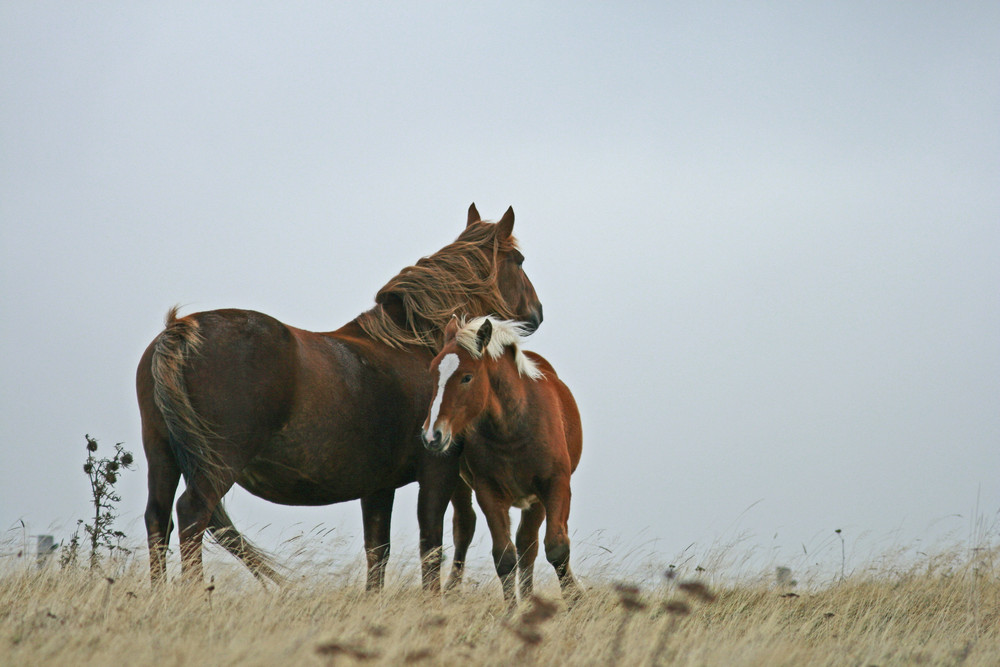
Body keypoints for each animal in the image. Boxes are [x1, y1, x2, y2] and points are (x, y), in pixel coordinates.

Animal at [137, 204, 544, 588]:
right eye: (519, 260)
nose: (536, 314)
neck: (411, 342)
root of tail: (179, 330)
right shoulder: (436, 472)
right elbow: (431, 546)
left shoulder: (378, 487)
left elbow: (377, 552)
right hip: (216, 464)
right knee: (192, 515)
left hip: (162, 454)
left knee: (158, 518)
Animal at [420, 316, 580, 608]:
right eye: (433, 372)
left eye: (467, 377)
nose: (432, 435)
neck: (513, 429)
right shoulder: (489, 492)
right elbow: (504, 557)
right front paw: (511, 611)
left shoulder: (555, 486)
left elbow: (556, 548)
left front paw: (575, 599)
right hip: (462, 485)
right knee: (465, 528)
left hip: (535, 500)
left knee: (528, 544)